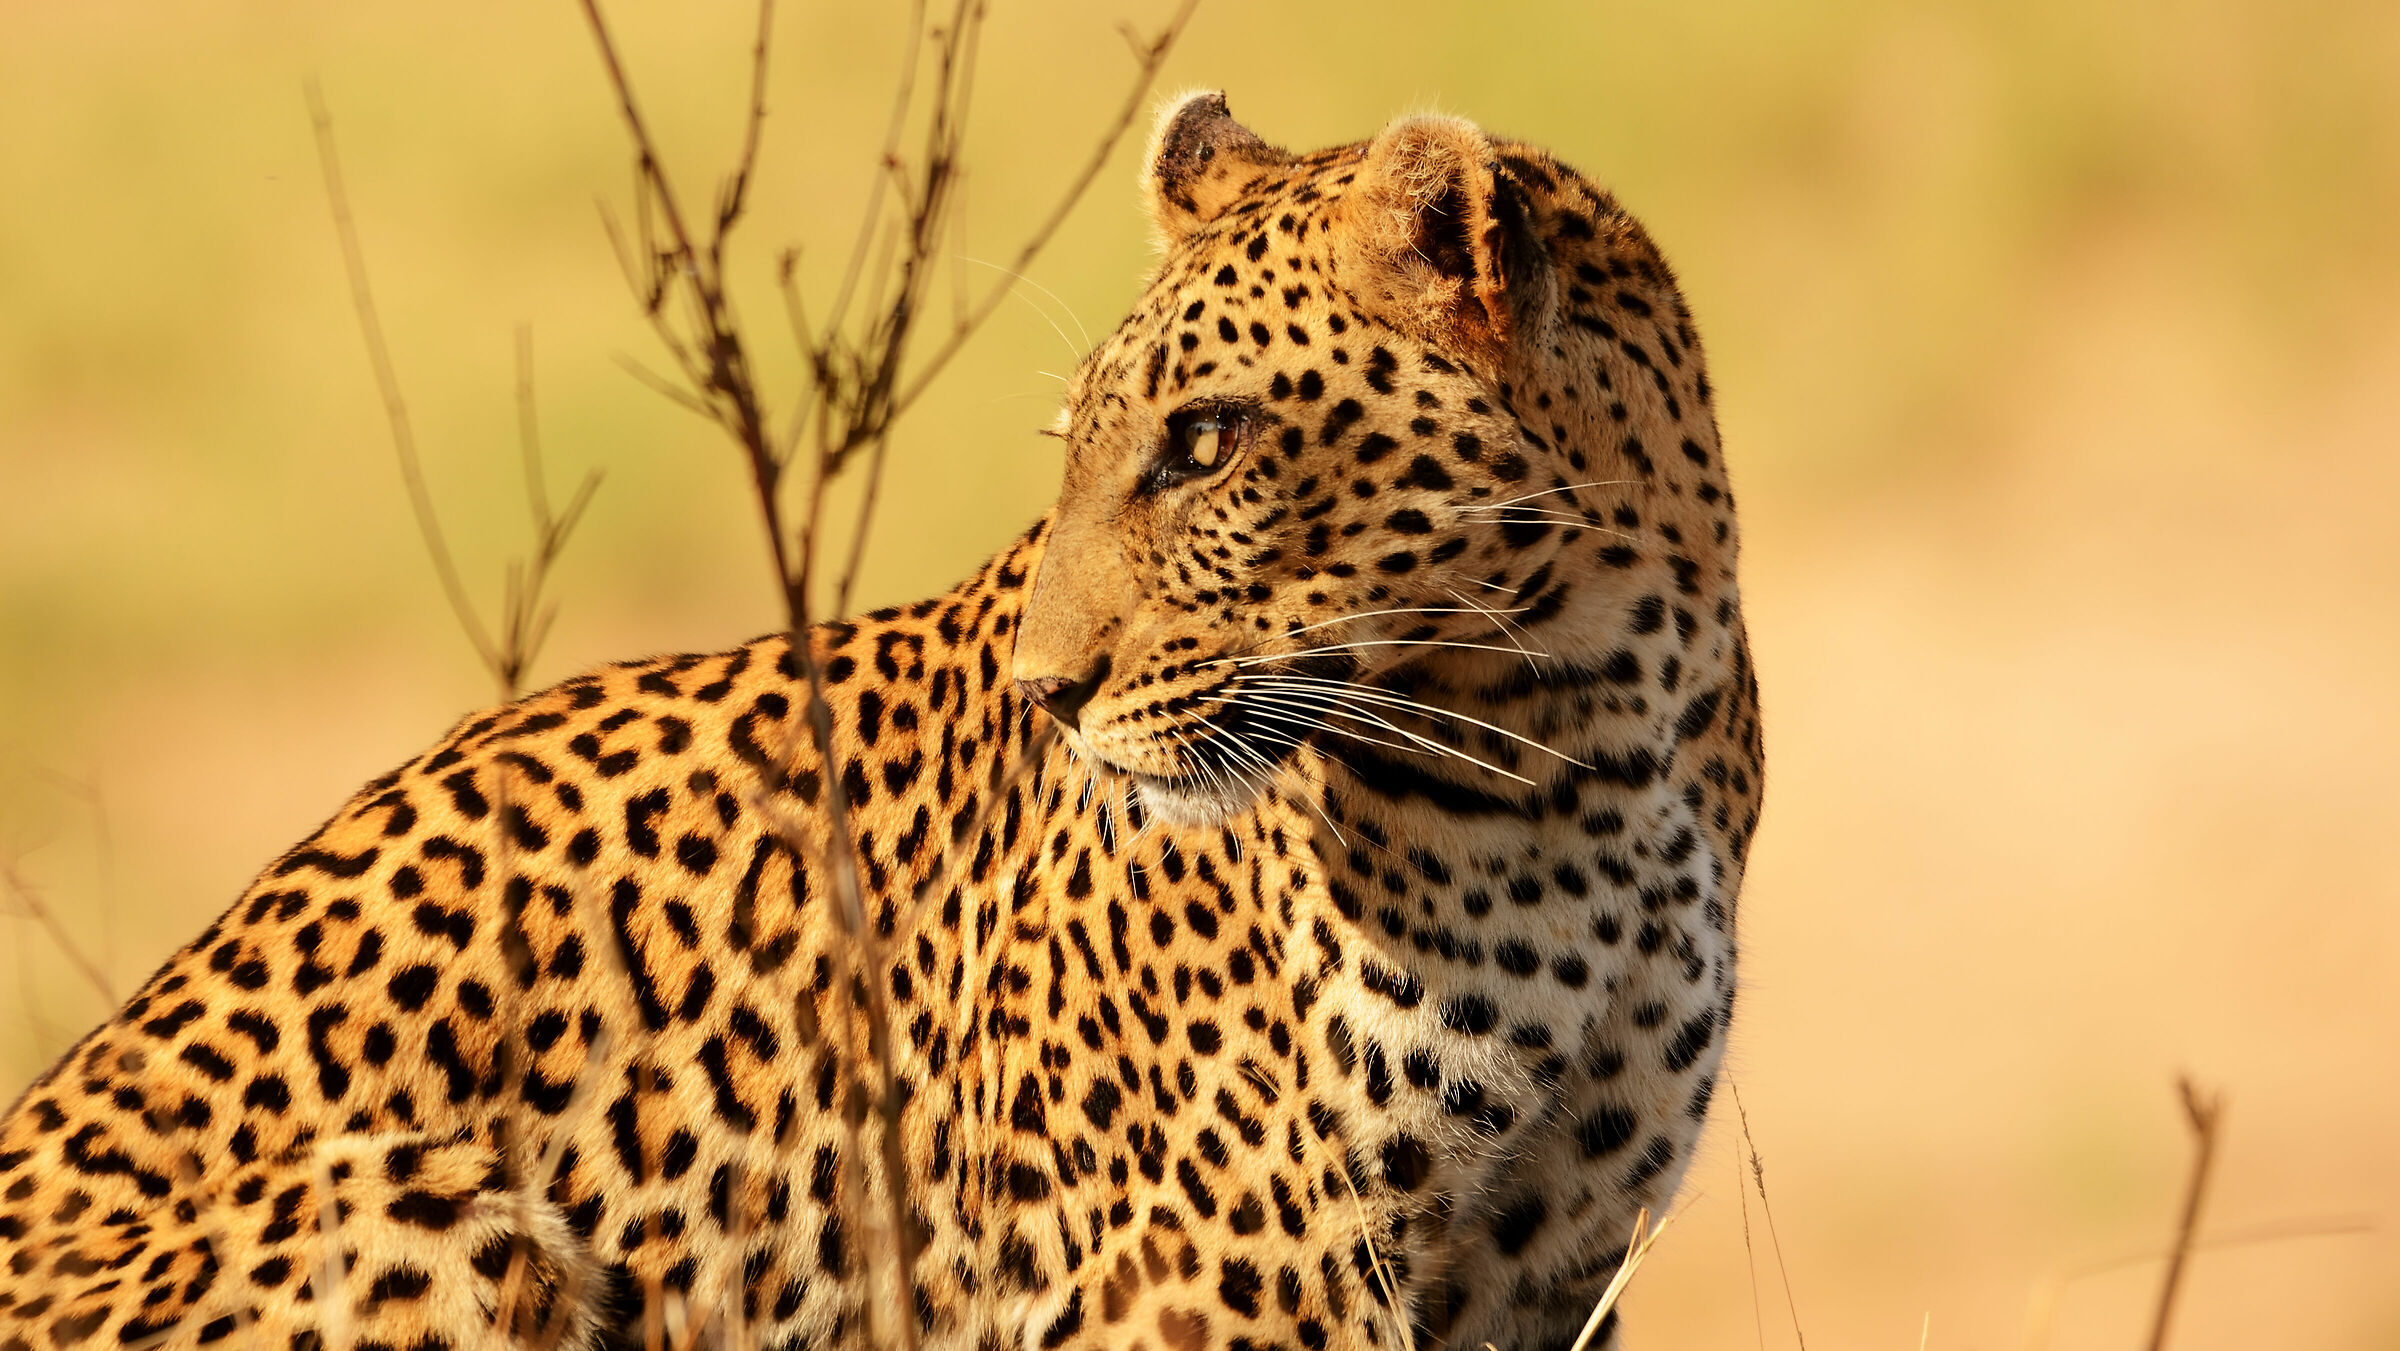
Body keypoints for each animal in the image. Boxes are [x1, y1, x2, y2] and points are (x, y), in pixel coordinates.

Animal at [0, 92, 1761, 1351]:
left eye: (1203, 442)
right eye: (1078, 446)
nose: (1050, 693)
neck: (1586, 740)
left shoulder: (1553, 1267)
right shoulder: (1229, 1271)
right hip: (422, 1197)